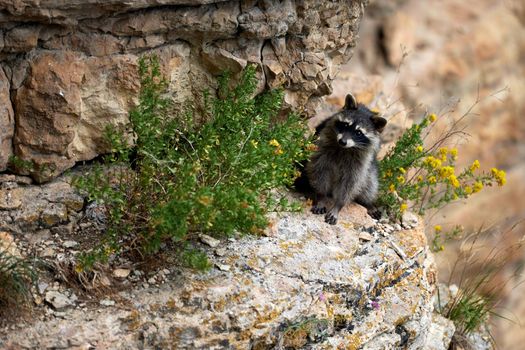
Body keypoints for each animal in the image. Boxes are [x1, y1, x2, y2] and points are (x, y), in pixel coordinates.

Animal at [304, 93, 386, 226]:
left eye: (358, 133)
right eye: (346, 125)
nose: (342, 141)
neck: (345, 148)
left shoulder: (360, 163)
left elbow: (350, 184)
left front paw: (338, 205)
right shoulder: (322, 148)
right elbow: (320, 172)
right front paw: (321, 197)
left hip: (370, 171)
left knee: (370, 184)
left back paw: (368, 203)